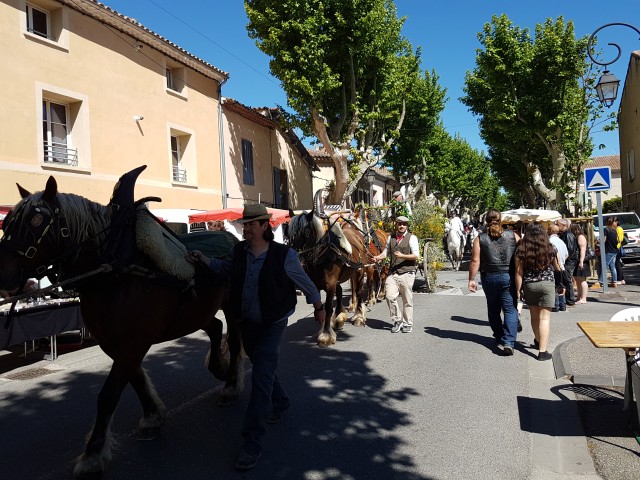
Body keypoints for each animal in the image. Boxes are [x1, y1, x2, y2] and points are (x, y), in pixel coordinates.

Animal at [0, 168, 244, 476]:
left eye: (36, 220)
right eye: (7, 222)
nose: (2, 274)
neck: (114, 269)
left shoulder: (133, 342)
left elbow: (109, 393)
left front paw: (93, 453)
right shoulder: (112, 342)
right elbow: (134, 378)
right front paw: (152, 417)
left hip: (232, 306)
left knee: (234, 340)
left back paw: (231, 384)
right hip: (196, 312)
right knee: (214, 327)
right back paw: (219, 368)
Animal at [288, 190, 368, 344]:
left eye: (307, 232)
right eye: (288, 233)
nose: (295, 260)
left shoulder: (330, 283)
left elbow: (329, 307)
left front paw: (326, 335)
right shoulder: (315, 283)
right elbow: (319, 308)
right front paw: (324, 328)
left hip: (359, 271)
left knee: (359, 291)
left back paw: (358, 317)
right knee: (341, 290)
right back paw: (339, 318)